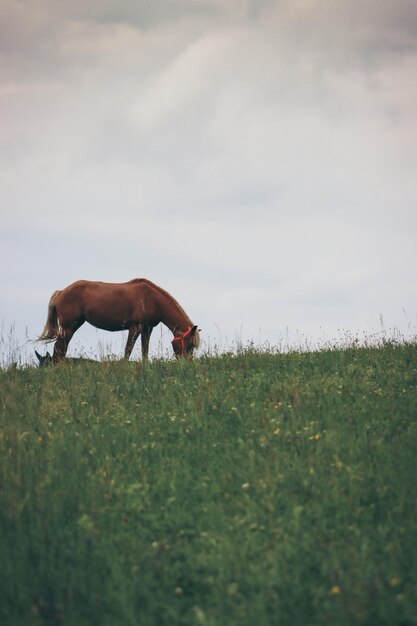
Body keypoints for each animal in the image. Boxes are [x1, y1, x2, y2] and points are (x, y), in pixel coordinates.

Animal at [37, 278, 200, 360]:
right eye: (190, 345)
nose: (186, 365)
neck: (151, 299)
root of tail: (61, 292)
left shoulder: (147, 329)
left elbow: (144, 351)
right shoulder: (135, 328)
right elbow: (128, 351)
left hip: (74, 325)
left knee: (61, 348)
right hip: (68, 327)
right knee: (59, 348)